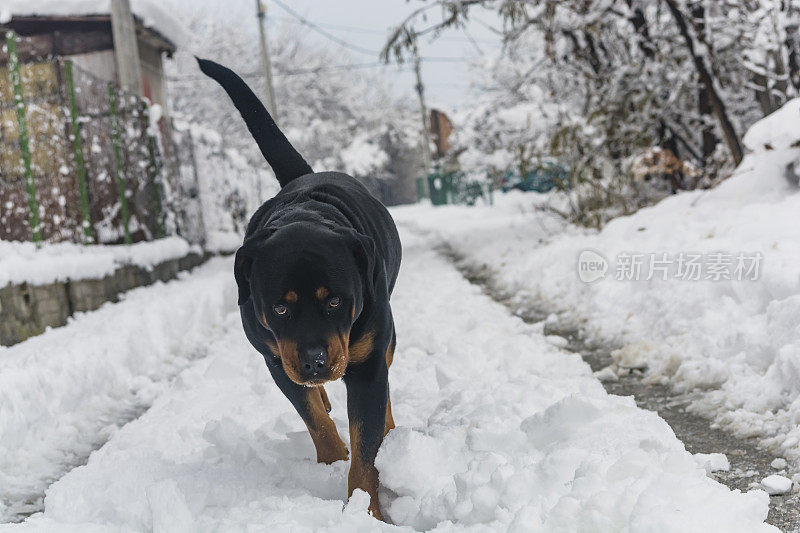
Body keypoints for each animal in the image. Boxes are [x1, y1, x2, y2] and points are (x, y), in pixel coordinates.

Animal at [198, 59, 404, 520]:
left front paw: (365, 511)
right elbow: (315, 420)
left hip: (385, 337)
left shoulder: (366, 361)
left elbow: (367, 444)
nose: (314, 360)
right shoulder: (276, 358)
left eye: (336, 301)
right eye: (279, 308)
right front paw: (333, 460)